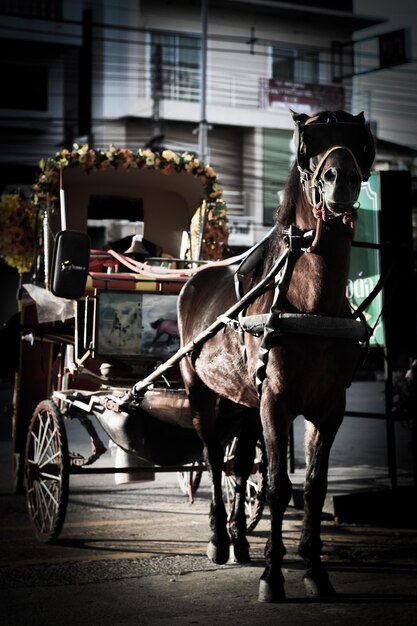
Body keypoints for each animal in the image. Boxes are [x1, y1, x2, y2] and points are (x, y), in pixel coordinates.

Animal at [177, 108, 376, 600]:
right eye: (308, 146)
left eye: (360, 145)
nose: (340, 178)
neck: (309, 306)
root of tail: (194, 277)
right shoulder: (276, 402)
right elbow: (277, 488)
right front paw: (273, 572)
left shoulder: (330, 406)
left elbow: (315, 486)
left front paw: (315, 569)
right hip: (200, 392)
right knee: (215, 460)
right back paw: (218, 538)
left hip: (245, 401)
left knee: (239, 464)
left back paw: (239, 540)